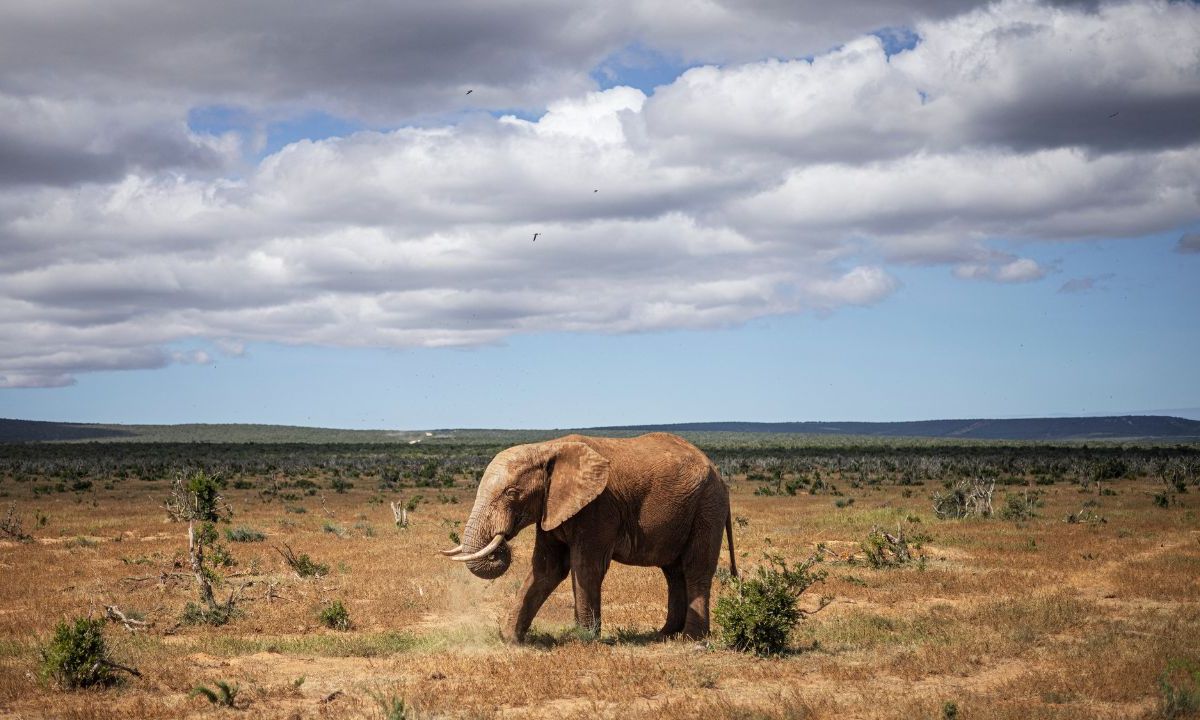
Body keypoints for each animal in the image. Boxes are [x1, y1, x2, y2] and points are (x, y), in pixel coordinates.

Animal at [441, 432, 734, 643]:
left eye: (511, 493)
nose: (501, 546)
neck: (546, 448)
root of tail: (718, 472)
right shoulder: (552, 507)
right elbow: (546, 569)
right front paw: (510, 639)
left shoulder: (598, 507)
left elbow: (585, 567)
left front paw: (583, 639)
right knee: (673, 572)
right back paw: (665, 634)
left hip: (708, 506)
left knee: (695, 567)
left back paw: (691, 638)